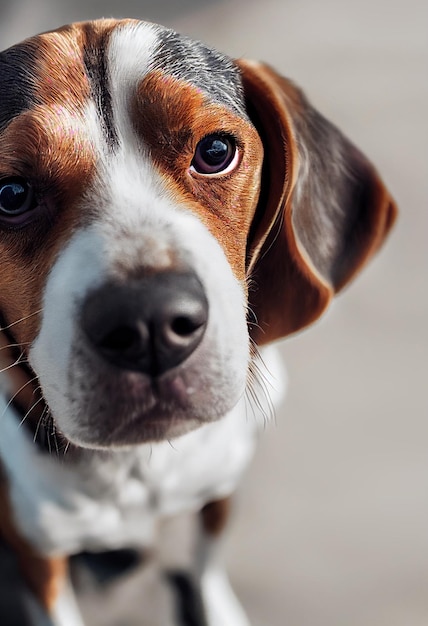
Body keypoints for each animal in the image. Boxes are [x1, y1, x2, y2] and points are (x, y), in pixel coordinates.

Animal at [0, 17, 398, 620]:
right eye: (10, 193)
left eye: (215, 151)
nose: (149, 325)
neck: (140, 466)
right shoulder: (37, 553)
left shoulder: (223, 484)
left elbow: (207, 557)